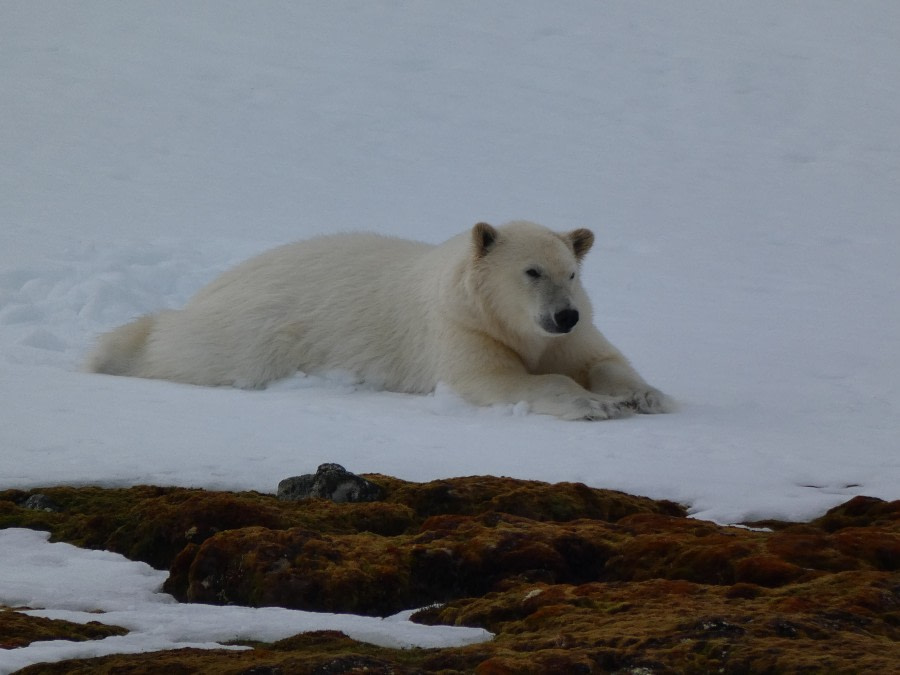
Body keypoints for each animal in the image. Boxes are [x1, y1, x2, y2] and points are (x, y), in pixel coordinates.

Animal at [88, 222, 668, 420]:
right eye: (531, 271)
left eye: (571, 272)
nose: (563, 314)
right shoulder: (459, 326)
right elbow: (494, 378)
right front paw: (595, 405)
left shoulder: (569, 335)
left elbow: (602, 356)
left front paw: (641, 395)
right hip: (254, 329)